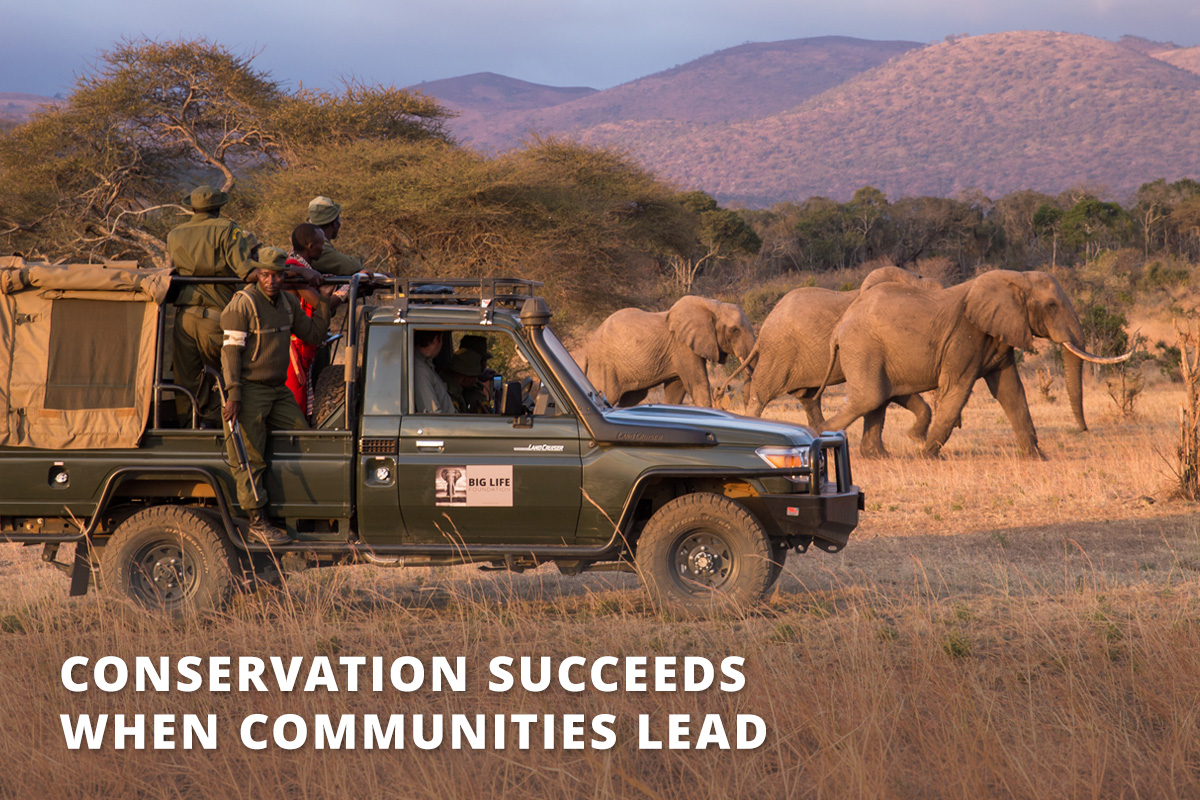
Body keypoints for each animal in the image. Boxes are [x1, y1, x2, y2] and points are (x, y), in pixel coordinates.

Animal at [577, 295, 755, 407]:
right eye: (734, 331)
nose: (722, 391)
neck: (712, 305)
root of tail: (588, 348)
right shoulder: (682, 347)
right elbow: (698, 385)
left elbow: (676, 390)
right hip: (605, 366)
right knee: (606, 393)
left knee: (633, 398)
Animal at [818, 269, 1130, 459]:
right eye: (1052, 305)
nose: (1084, 430)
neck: (1016, 278)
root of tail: (838, 328)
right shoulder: (964, 336)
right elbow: (957, 389)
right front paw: (928, 456)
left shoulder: (999, 336)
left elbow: (1010, 392)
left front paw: (1037, 458)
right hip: (862, 347)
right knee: (869, 397)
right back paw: (819, 438)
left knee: (877, 399)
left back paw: (875, 455)